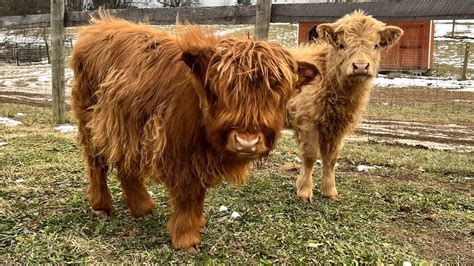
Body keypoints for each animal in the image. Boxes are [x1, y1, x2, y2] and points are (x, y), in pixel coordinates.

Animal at [71, 13, 318, 249]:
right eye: (222, 90)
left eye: (276, 90)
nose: (246, 142)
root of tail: (96, 26)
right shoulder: (182, 155)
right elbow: (189, 194)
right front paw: (186, 238)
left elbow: (198, 193)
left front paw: (197, 224)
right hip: (91, 120)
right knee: (96, 162)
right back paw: (102, 205)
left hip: (126, 126)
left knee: (126, 163)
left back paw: (142, 207)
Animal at [286, 10, 404, 202]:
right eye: (342, 45)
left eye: (376, 45)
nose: (361, 66)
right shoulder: (306, 120)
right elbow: (311, 156)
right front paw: (304, 191)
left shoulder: (338, 126)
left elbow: (331, 158)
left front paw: (330, 191)